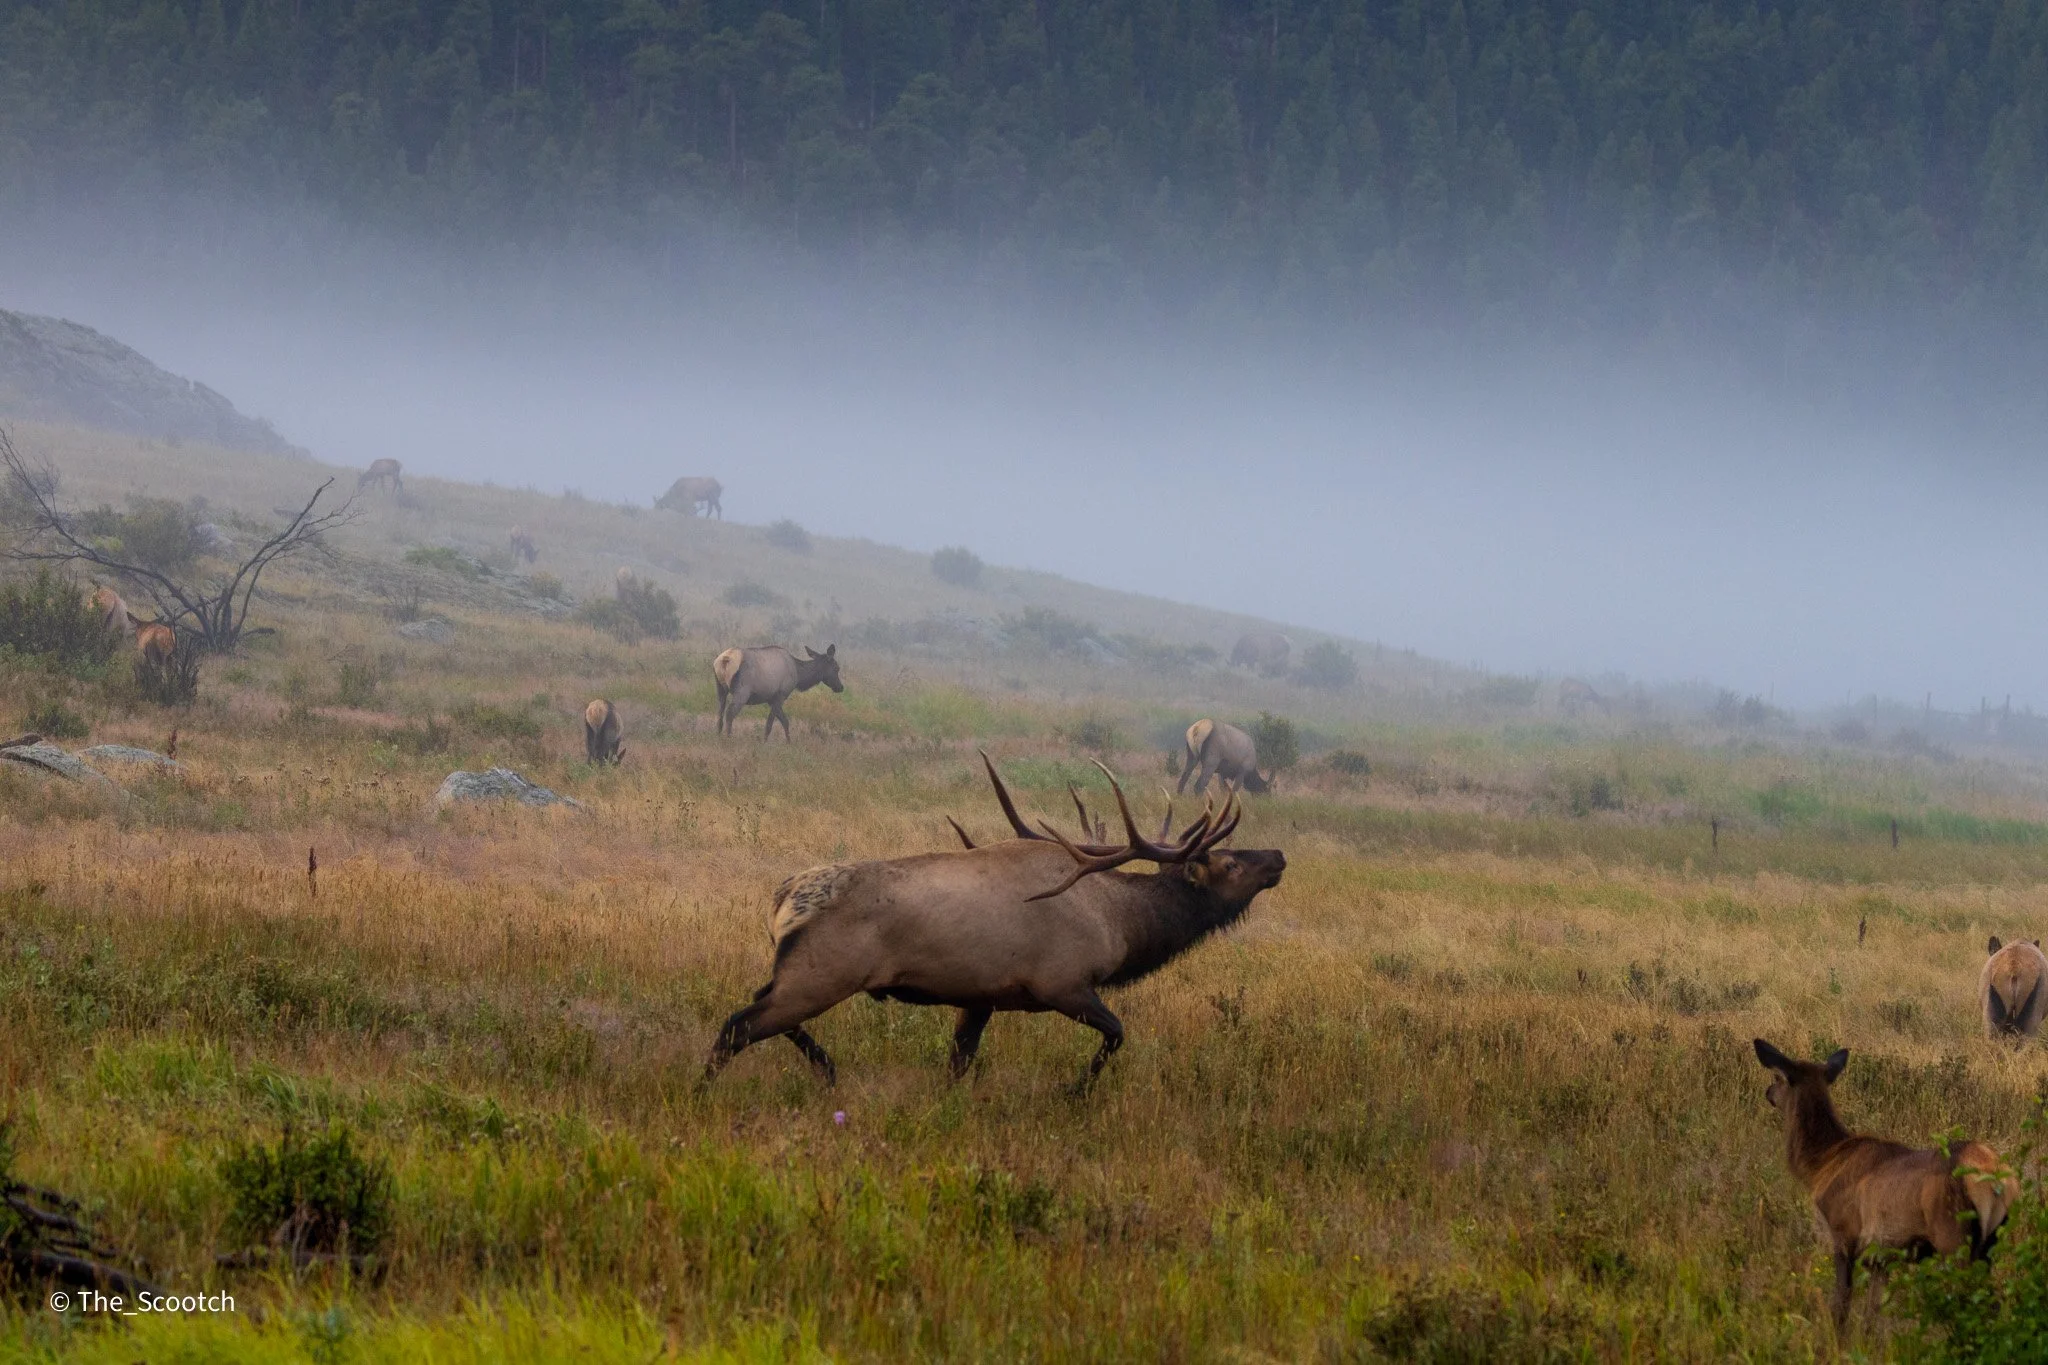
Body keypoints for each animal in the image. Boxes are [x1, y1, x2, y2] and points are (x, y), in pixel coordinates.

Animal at [704, 755, 1285, 1089]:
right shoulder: (1061, 983)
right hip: (824, 973)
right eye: (1229, 863)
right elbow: (1118, 1034)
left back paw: (827, 1070)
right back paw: (705, 1091)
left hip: (799, 971)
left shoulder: (979, 995)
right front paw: (1074, 1092)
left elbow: (958, 1064)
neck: (1121, 924)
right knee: (738, 1026)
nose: (1278, 855)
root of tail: (783, 899)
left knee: (758, 1007)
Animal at [713, 645, 842, 739]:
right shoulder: (781, 695)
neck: (799, 676)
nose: (841, 687)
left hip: (720, 689)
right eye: (837, 668)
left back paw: (718, 736)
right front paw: (763, 743)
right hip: (742, 691)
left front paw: (789, 743)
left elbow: (785, 721)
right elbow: (770, 724)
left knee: (720, 714)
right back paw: (729, 738)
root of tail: (725, 659)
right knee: (730, 713)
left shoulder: (771, 699)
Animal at [1752, 1038, 2011, 1331]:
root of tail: (1997, 1179)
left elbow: (1841, 1306)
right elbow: (1872, 1317)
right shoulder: (1881, 1258)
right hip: (1989, 1244)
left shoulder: (1844, 1232)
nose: (1768, 1092)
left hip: (1953, 1237)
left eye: (1777, 1077)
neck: (1822, 1165)